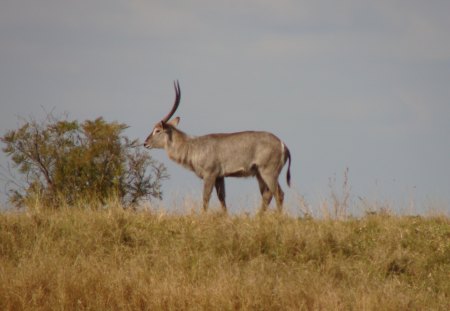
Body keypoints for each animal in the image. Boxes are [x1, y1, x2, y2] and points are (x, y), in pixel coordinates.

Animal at [144, 80, 292, 213]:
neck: (193, 147)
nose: (145, 143)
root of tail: (283, 144)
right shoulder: (220, 177)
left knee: (278, 194)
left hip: (268, 172)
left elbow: (205, 199)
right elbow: (222, 199)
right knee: (267, 195)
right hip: (259, 174)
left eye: (157, 130)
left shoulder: (210, 175)